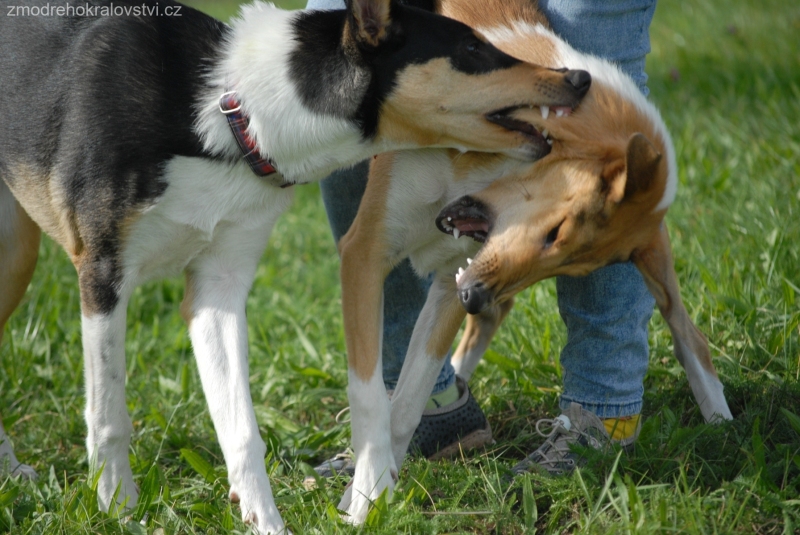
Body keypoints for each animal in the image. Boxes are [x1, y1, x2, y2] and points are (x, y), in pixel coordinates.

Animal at [0, 0, 588, 528]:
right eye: (471, 50)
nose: (580, 77)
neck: (226, 111)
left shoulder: (217, 290)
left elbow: (241, 430)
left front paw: (265, 521)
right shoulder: (103, 277)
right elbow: (109, 416)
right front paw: (118, 510)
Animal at [338, 0, 732, 524]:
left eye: (573, 267)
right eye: (556, 232)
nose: (475, 296)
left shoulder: (451, 280)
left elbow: (405, 406)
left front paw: (373, 493)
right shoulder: (366, 252)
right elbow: (373, 402)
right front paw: (365, 496)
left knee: (687, 332)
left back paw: (719, 418)